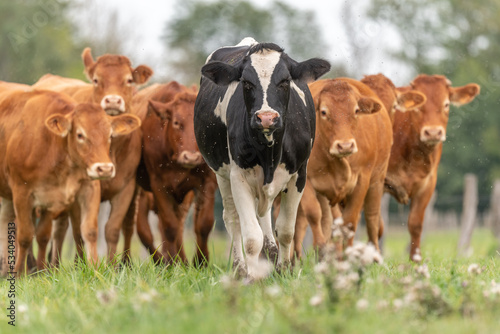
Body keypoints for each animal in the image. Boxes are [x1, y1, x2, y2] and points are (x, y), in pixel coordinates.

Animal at [0, 89, 140, 276]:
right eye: (80, 135)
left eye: (110, 135)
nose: (104, 168)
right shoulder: (21, 193)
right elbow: (25, 236)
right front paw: (20, 275)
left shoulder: (87, 189)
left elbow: (88, 231)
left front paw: (95, 269)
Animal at [31, 47, 152, 264]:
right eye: (96, 79)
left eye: (129, 79)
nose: (112, 100)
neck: (112, 150)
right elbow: (79, 231)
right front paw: (81, 265)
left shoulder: (126, 188)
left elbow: (112, 229)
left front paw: (113, 266)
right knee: (59, 230)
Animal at [123, 81, 217, 266]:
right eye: (176, 122)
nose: (191, 157)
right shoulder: (159, 186)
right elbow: (169, 228)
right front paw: (171, 263)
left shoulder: (207, 181)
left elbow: (203, 224)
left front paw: (201, 261)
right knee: (137, 229)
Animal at [193, 37, 330, 278]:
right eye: (246, 83)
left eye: (285, 81)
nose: (266, 117)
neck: (269, 152)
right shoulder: (238, 176)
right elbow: (251, 238)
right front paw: (252, 276)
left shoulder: (299, 175)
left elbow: (285, 230)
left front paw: (284, 269)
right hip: (221, 173)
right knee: (232, 219)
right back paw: (240, 268)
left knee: (265, 217)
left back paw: (272, 255)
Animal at [382, 74, 480, 262]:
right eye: (420, 106)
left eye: (446, 104)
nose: (433, 132)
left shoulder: (428, 184)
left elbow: (415, 224)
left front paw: (416, 261)